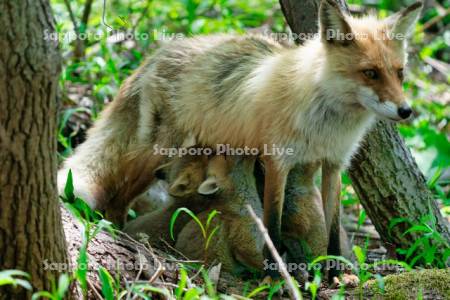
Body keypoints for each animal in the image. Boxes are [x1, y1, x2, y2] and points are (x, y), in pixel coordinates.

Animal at [59, 0, 422, 276]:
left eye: (399, 73)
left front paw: (336, 273)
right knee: (117, 200)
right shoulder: (277, 161)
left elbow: (332, 228)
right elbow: (272, 226)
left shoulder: (334, 164)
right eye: (370, 73)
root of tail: (158, 53)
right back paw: (118, 234)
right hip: (154, 155)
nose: (406, 111)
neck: (325, 122)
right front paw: (276, 274)